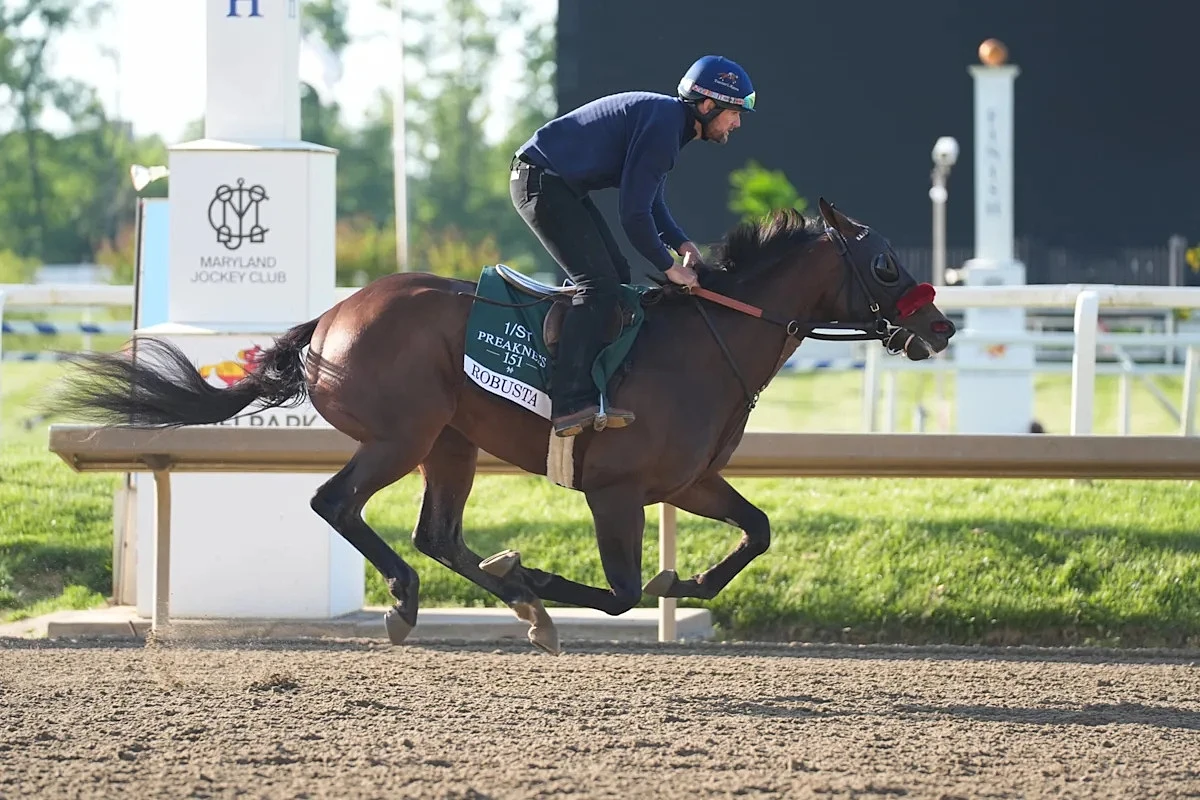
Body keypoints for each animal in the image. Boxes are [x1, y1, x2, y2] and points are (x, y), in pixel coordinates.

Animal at [48, 198, 956, 655]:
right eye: (885, 265)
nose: (940, 328)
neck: (704, 342)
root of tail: (330, 319)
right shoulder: (614, 490)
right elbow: (621, 594)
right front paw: (536, 573)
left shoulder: (688, 480)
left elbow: (756, 531)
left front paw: (686, 579)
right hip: (403, 436)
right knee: (339, 506)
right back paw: (422, 599)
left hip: (452, 442)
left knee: (436, 533)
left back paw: (507, 603)